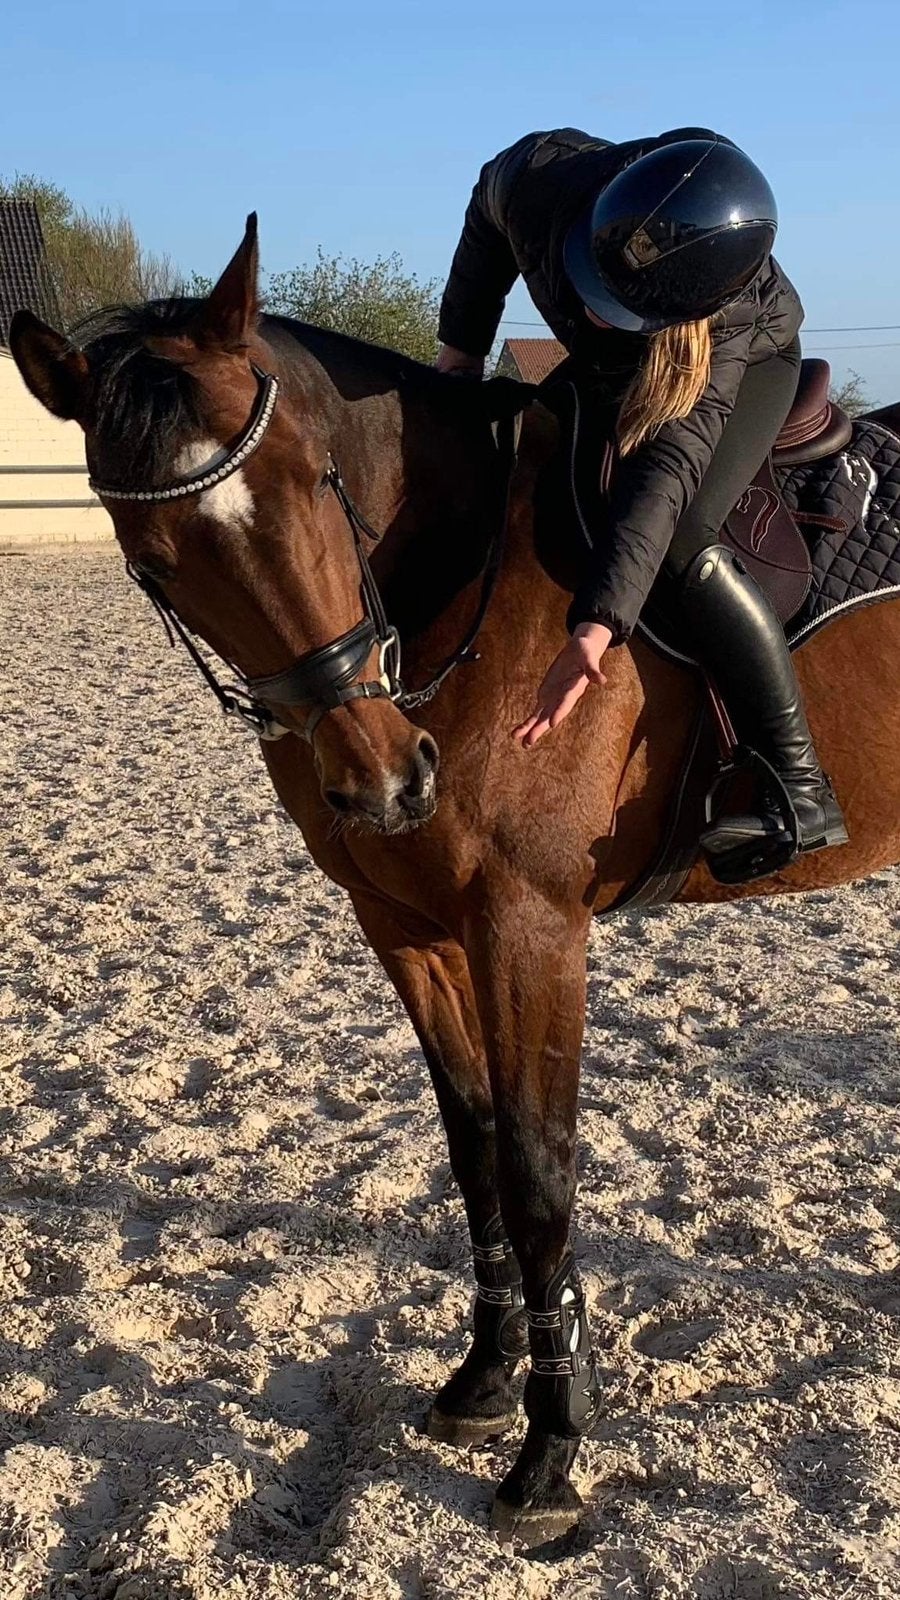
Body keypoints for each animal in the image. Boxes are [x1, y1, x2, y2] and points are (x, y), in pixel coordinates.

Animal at [11, 216, 900, 1547]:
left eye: (314, 479)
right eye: (157, 555)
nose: (387, 778)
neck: (465, 580)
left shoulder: (529, 929)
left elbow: (538, 1167)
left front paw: (553, 1447)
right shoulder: (407, 927)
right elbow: (473, 1144)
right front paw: (489, 1381)